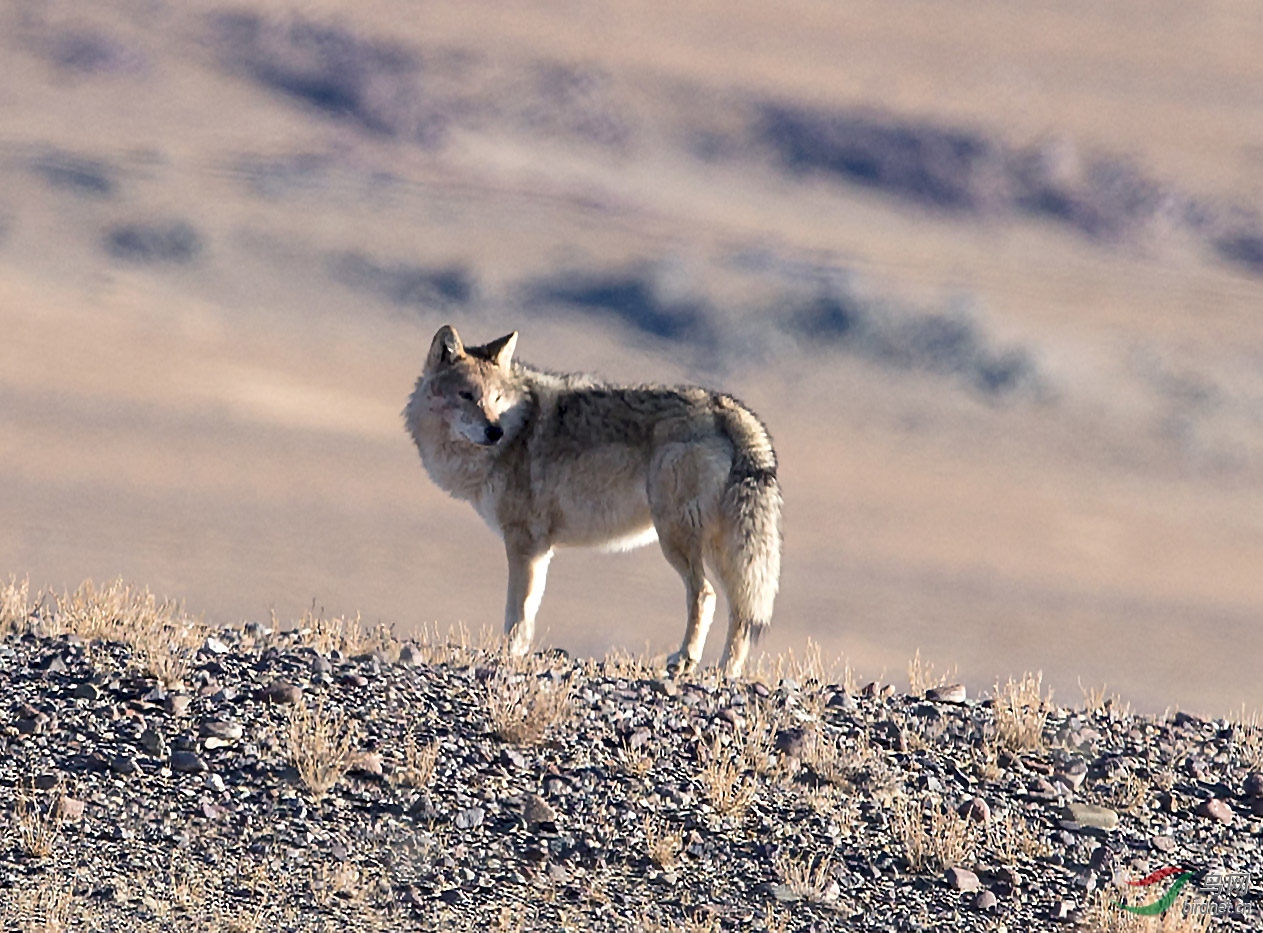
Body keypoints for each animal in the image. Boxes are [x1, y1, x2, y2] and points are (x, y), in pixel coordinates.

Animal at [404, 325, 778, 676]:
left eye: (496, 398)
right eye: (467, 395)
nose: (494, 431)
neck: (515, 432)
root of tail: (727, 408)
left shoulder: (524, 542)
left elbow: (517, 613)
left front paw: (507, 656)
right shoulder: (540, 550)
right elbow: (527, 612)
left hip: (677, 540)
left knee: (705, 594)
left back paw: (685, 659)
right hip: (719, 548)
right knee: (741, 612)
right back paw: (725, 671)